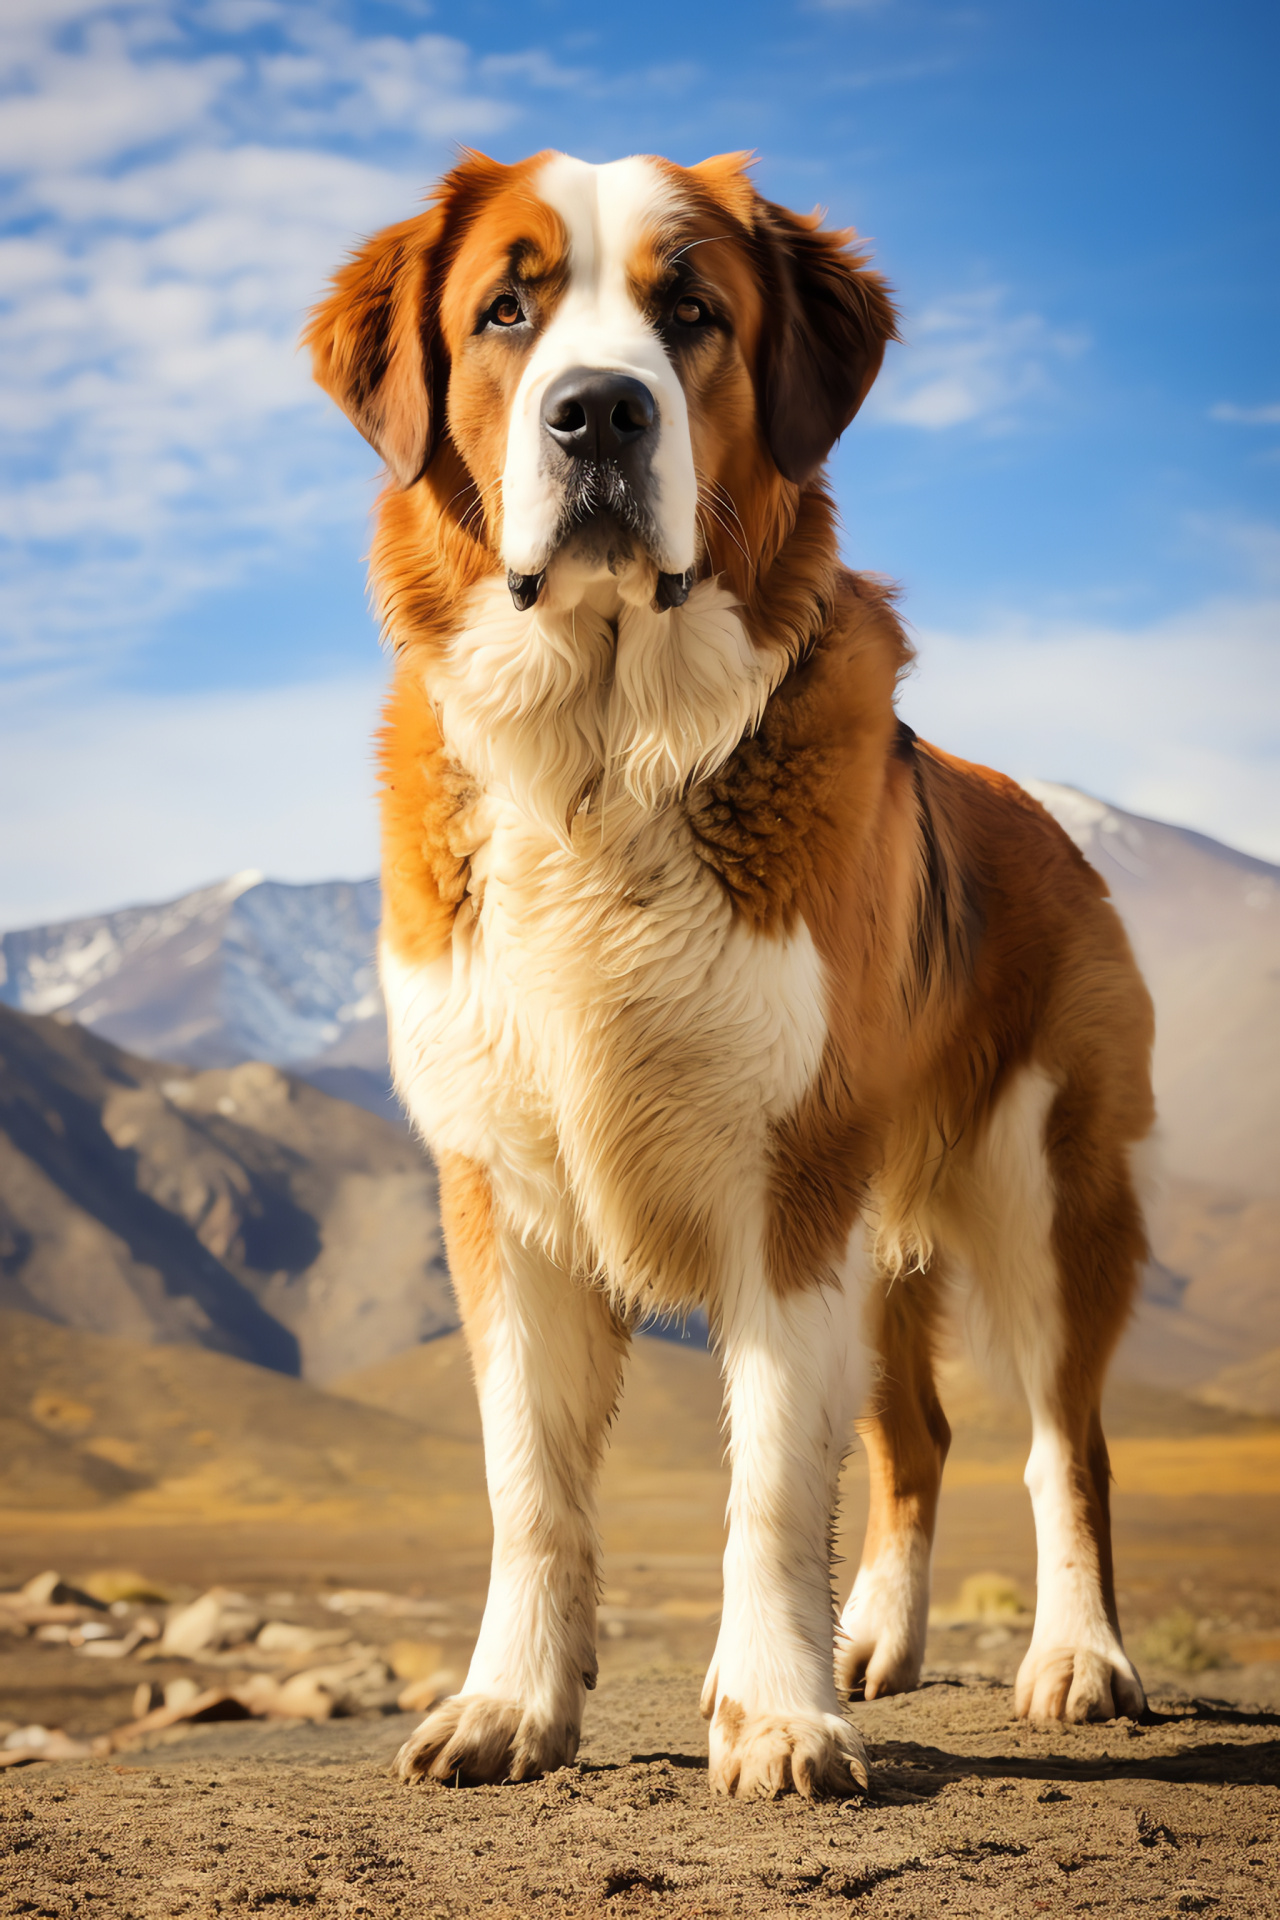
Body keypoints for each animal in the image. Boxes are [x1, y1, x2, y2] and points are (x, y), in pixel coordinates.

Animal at [305, 149, 1159, 1797]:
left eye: (689, 313)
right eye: (505, 310)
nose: (599, 413)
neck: (602, 752)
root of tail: (1045, 814)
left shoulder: (790, 1169)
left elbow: (768, 1467)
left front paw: (773, 1712)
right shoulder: (499, 1180)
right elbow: (528, 1478)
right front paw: (511, 1702)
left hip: (1042, 1184)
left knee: (1062, 1439)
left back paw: (1076, 1658)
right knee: (914, 1435)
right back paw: (877, 1642)